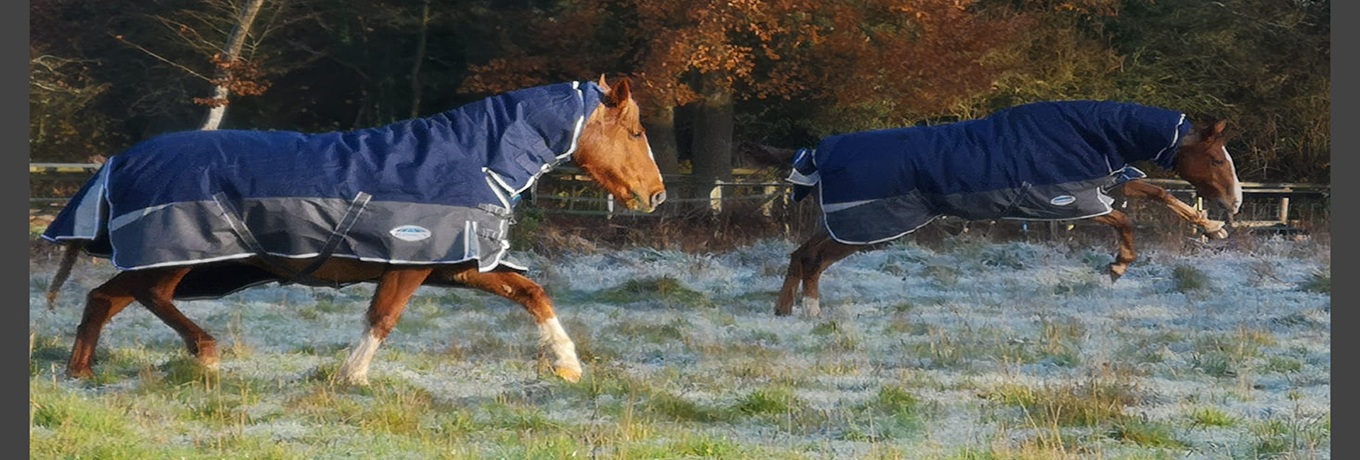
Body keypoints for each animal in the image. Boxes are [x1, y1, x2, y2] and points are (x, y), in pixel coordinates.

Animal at [40, 75, 666, 384]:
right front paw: (352, 377)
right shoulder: (412, 264)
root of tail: (120, 160)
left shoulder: (457, 266)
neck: (474, 158)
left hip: (165, 259)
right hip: (177, 255)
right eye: (636, 132)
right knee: (147, 295)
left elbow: (532, 293)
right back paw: (205, 351)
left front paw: (567, 365)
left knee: (104, 298)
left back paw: (81, 374)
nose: (655, 195)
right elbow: (382, 319)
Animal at [775, 100, 1241, 317]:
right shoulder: (1070, 203)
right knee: (814, 260)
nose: (1235, 200)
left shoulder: (1108, 181)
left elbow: (1160, 195)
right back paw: (812, 311)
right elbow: (1125, 219)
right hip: (864, 226)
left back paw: (783, 311)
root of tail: (820, 152)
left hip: (843, 222)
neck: (1089, 133)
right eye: (1216, 159)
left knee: (800, 254)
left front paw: (1211, 228)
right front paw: (1118, 265)